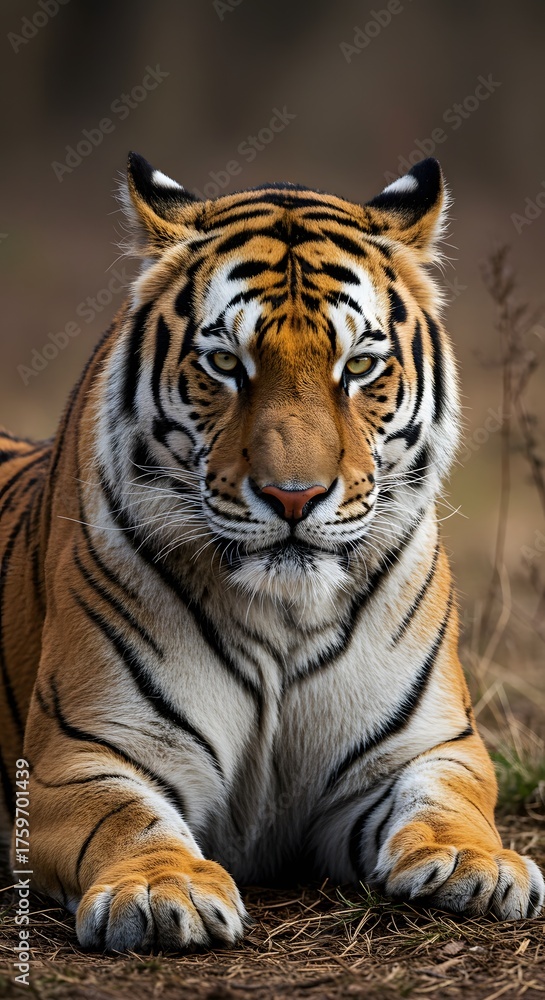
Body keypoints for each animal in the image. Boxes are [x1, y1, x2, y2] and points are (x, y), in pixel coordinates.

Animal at [0, 152, 543, 953]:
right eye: (226, 363)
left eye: (360, 366)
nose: (295, 496)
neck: (282, 615)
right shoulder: (80, 756)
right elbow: (128, 820)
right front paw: (161, 890)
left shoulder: (429, 746)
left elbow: (449, 802)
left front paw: (474, 863)